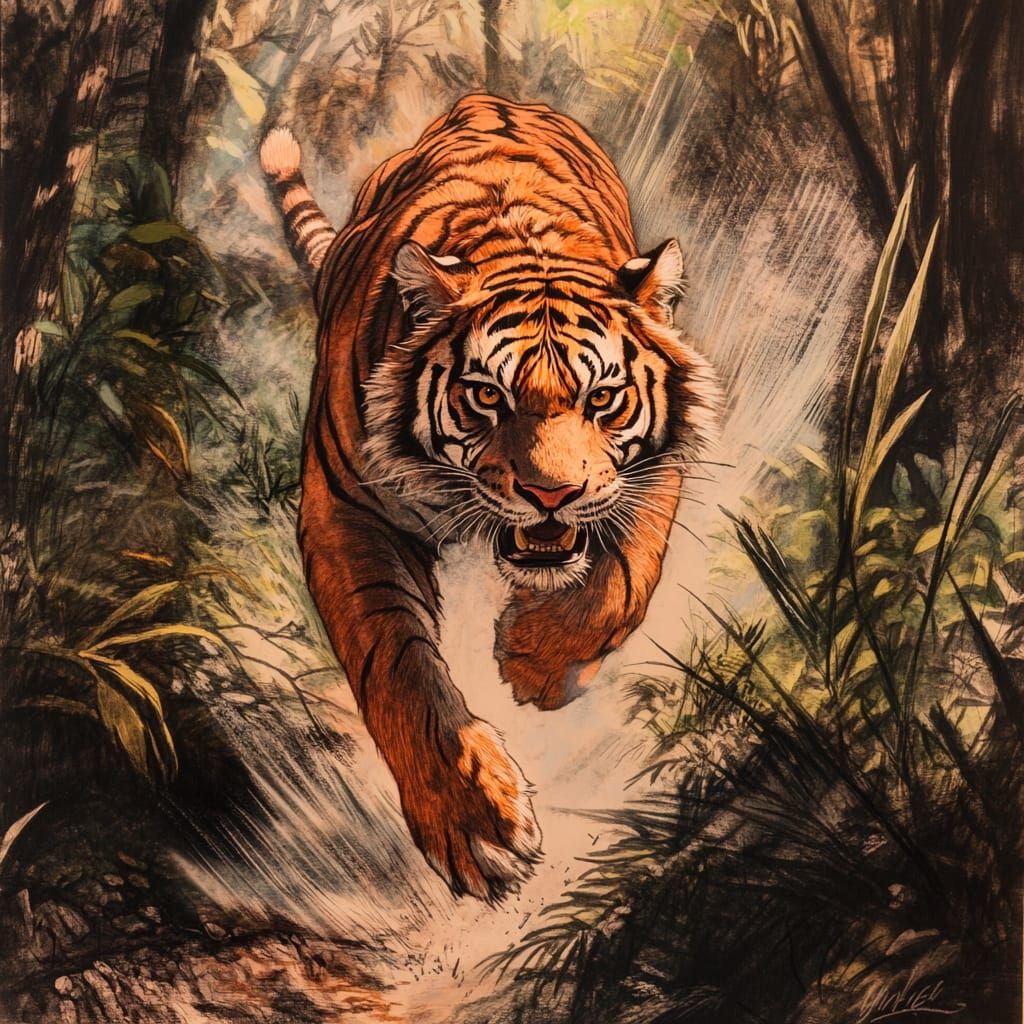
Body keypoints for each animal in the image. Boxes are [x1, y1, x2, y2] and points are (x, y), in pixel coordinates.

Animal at [259, 94, 717, 901]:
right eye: (485, 396)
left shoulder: (651, 474)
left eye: (603, 399)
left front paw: (535, 662)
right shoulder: (346, 508)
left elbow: (622, 584)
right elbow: (394, 661)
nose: (550, 493)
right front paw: (475, 819)